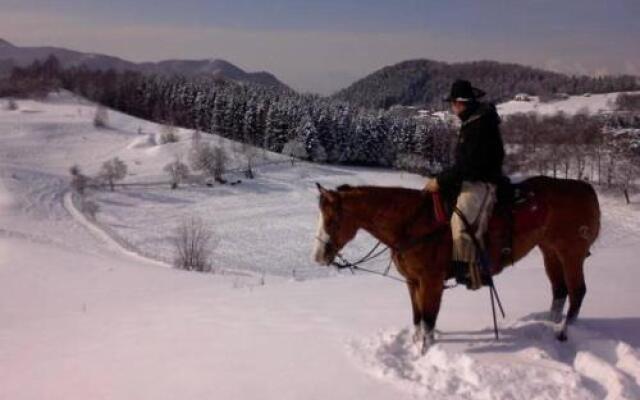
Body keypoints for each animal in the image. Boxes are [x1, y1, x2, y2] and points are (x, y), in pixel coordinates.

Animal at [312, 177, 604, 352]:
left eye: (332, 221)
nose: (318, 256)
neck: (412, 224)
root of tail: (586, 188)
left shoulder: (431, 282)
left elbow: (429, 319)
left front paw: (424, 352)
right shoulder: (412, 282)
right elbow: (417, 317)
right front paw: (417, 345)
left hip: (571, 253)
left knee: (577, 291)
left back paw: (563, 332)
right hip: (550, 251)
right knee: (560, 291)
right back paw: (549, 325)